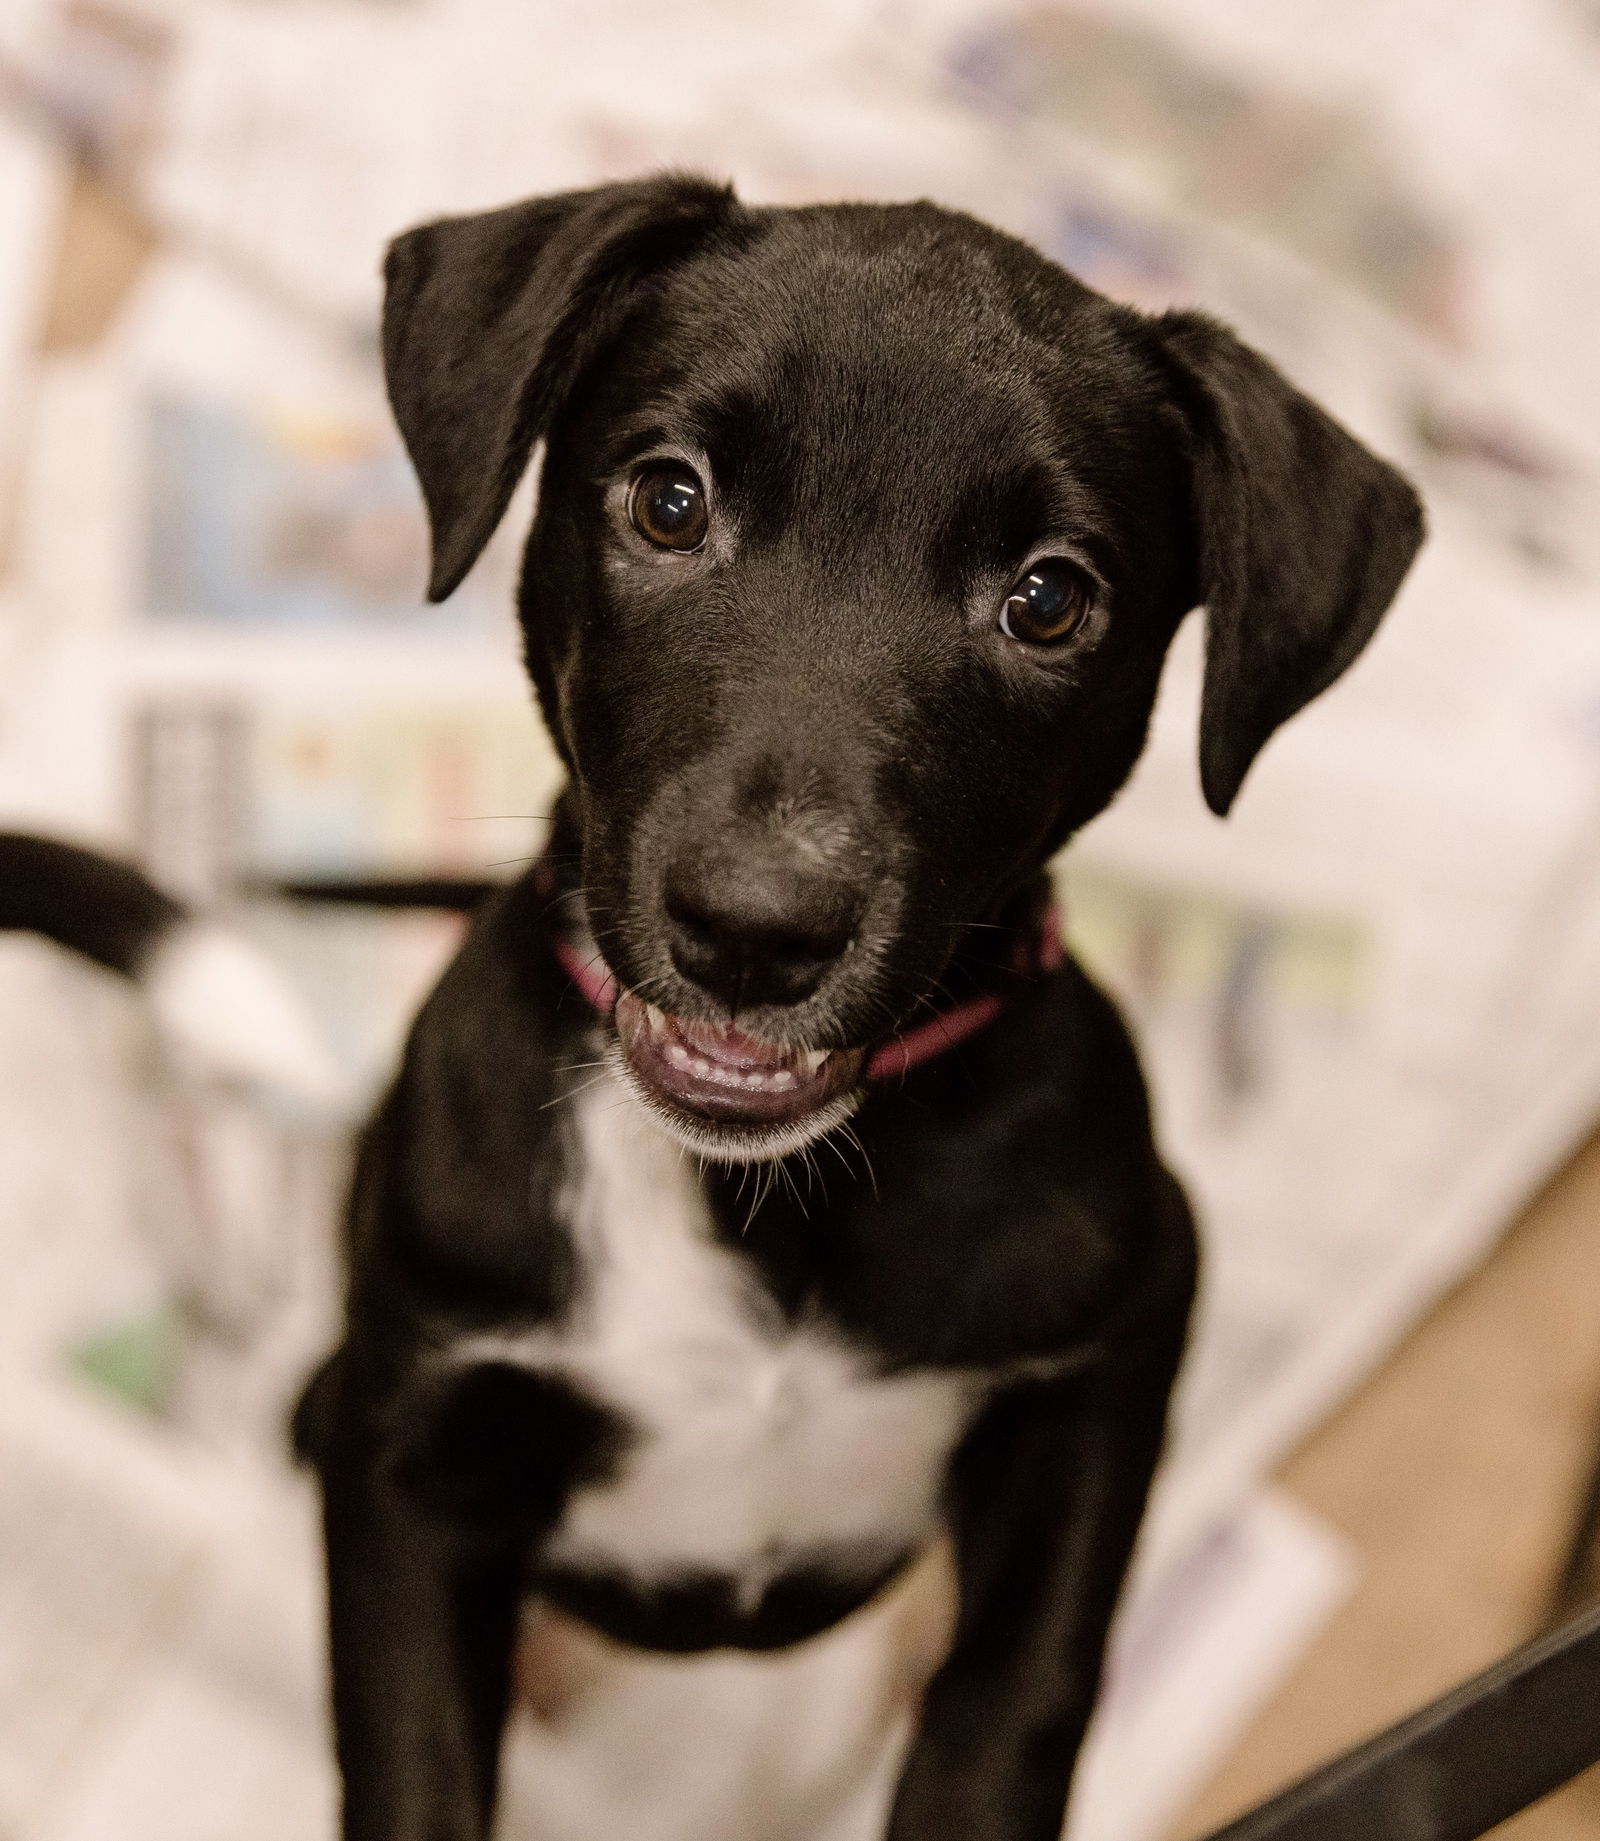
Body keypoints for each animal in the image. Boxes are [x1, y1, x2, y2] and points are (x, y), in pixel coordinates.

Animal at [292, 175, 1414, 1841]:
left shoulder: (1119, 1349)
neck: (767, 1205)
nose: (757, 933)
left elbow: (1015, 1694)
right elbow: (414, 1768)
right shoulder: (416, 1457)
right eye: (669, 500)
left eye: (1050, 599)